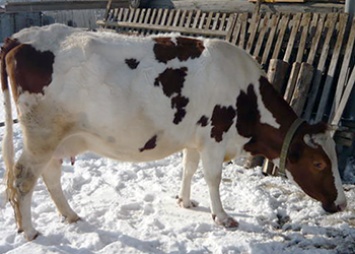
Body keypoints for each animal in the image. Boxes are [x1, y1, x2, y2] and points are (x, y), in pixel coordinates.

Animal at [0, 23, 348, 240]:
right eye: (319, 163)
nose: (343, 204)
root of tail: (22, 37)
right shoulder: (215, 136)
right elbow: (213, 178)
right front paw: (222, 217)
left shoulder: (195, 139)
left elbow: (188, 169)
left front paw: (185, 201)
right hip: (42, 135)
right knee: (23, 179)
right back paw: (29, 231)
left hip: (58, 138)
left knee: (51, 175)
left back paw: (69, 215)